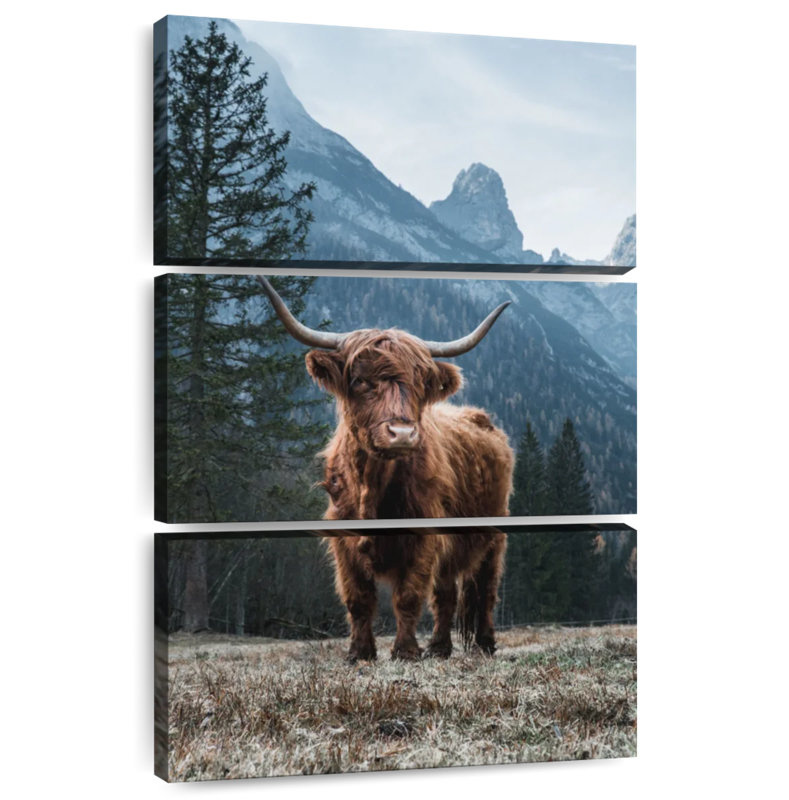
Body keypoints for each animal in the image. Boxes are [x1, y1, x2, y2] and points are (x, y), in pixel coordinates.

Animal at [257, 277, 514, 661]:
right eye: (361, 381)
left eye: (420, 382)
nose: (402, 433)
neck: (372, 488)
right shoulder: (344, 543)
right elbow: (358, 599)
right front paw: (359, 652)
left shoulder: (424, 537)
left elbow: (407, 597)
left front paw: (405, 651)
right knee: (446, 594)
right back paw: (440, 647)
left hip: (493, 534)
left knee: (485, 588)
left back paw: (483, 643)